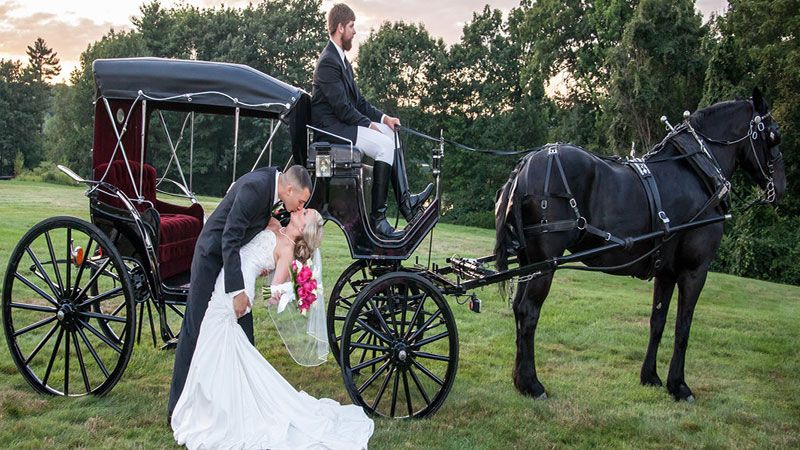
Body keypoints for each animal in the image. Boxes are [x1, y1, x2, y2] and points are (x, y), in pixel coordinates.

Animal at [494, 88, 788, 400]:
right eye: (775, 135)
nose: (781, 187)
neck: (697, 171)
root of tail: (524, 166)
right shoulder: (695, 269)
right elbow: (683, 327)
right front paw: (679, 385)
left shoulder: (666, 271)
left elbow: (657, 322)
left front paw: (651, 377)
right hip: (545, 262)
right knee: (529, 311)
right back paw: (532, 383)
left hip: (528, 261)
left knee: (518, 308)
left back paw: (519, 379)